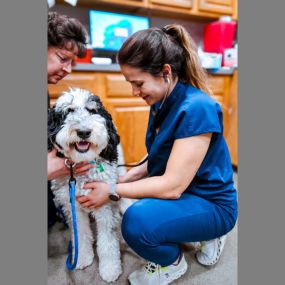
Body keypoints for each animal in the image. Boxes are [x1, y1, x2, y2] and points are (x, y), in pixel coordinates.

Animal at [48, 88, 127, 282]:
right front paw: (82, 258)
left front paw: (110, 269)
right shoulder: (71, 206)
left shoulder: (103, 202)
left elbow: (107, 241)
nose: (84, 132)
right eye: (68, 111)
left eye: (92, 111)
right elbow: (80, 234)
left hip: (120, 170)